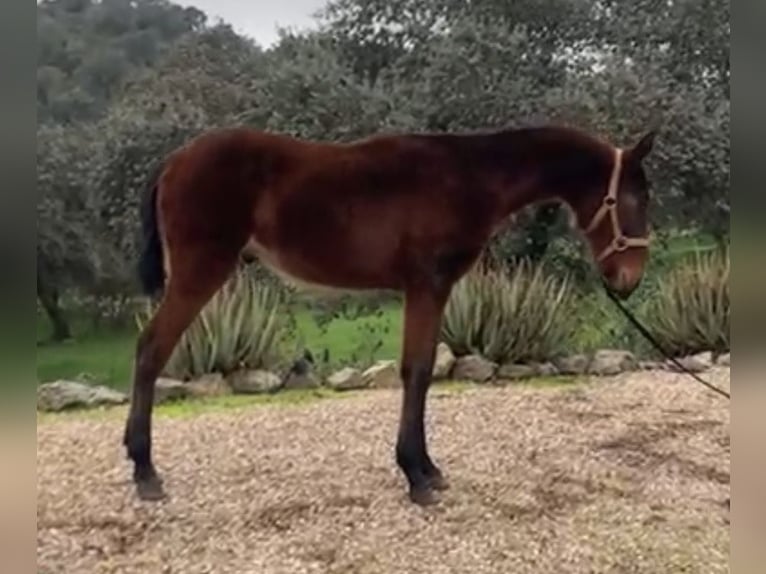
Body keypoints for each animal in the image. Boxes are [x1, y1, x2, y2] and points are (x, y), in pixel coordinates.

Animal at [124, 123, 656, 506]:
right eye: (633, 198)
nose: (628, 279)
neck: (469, 176)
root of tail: (174, 161)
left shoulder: (430, 290)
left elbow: (419, 370)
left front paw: (428, 470)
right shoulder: (428, 285)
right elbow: (416, 371)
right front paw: (416, 476)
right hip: (200, 271)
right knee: (152, 349)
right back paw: (146, 472)